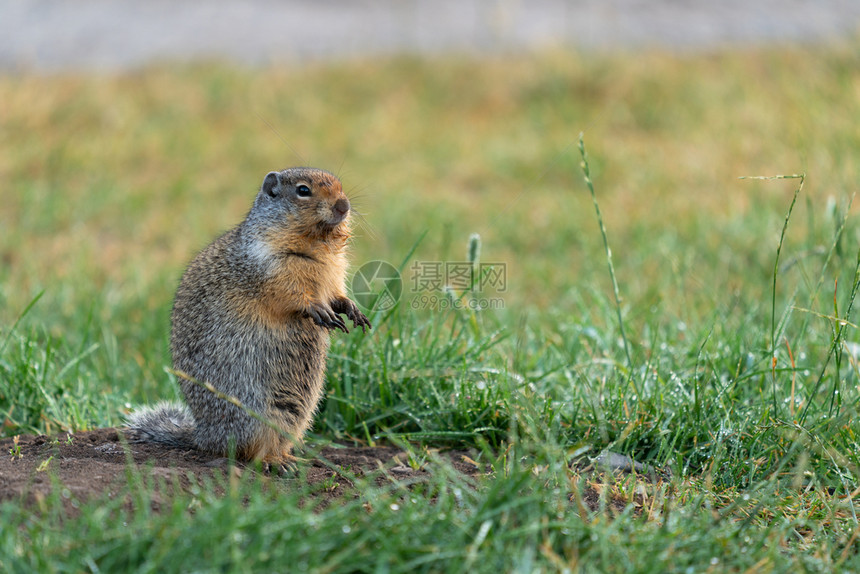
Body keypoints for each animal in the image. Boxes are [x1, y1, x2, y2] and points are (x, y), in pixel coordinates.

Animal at [125, 166, 370, 468]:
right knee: (248, 453)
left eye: (340, 186)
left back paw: (291, 458)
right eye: (303, 190)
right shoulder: (271, 268)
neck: (317, 244)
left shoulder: (335, 272)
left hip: (297, 414)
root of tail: (204, 437)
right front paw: (318, 309)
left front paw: (352, 309)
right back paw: (274, 462)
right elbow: (291, 295)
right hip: (253, 416)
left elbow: (337, 294)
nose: (343, 206)